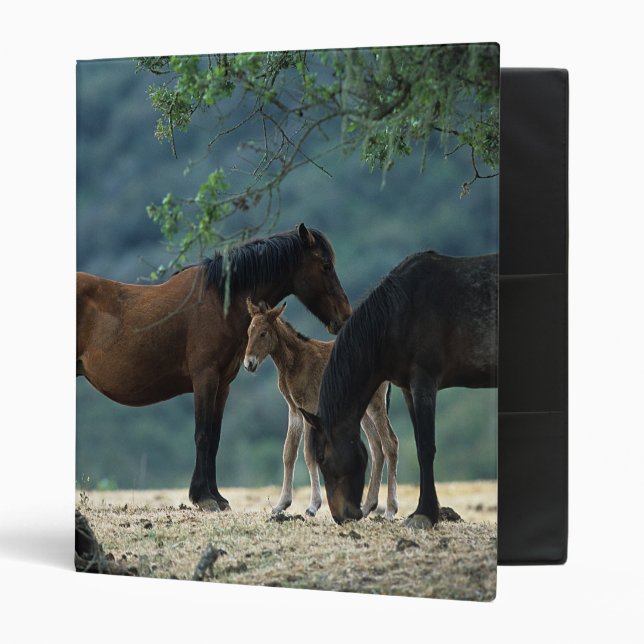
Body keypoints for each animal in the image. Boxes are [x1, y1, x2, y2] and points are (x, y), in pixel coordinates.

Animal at [76, 224, 352, 511]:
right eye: (325, 266)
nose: (345, 315)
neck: (219, 301)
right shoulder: (205, 378)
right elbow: (203, 435)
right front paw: (204, 497)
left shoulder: (223, 385)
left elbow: (215, 438)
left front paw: (217, 496)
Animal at [243, 299, 399, 519]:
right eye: (249, 331)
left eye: (264, 333)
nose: (249, 364)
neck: (294, 361)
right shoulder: (294, 410)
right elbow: (288, 453)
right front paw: (281, 504)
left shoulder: (309, 407)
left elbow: (309, 454)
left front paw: (312, 506)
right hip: (363, 409)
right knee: (377, 448)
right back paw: (368, 506)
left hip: (375, 405)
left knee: (390, 444)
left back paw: (391, 510)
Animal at [300, 251, 498, 527]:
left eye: (321, 457)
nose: (341, 516)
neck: (400, 313)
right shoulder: (408, 389)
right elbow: (417, 445)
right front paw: (422, 510)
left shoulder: (424, 382)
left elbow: (426, 447)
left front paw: (425, 513)